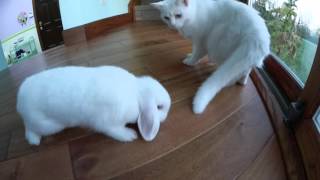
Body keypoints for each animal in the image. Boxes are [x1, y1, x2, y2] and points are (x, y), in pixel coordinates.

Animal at [16, 65, 172, 145]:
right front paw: (130, 135)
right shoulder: (109, 123)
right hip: (46, 125)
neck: (136, 94)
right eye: (159, 107)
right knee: (30, 131)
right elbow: (114, 131)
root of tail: (20, 100)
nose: (167, 114)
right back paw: (34, 140)